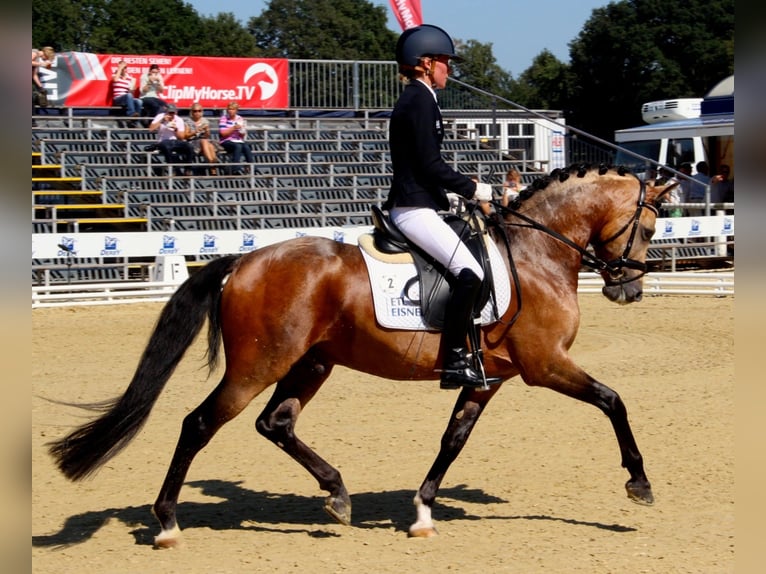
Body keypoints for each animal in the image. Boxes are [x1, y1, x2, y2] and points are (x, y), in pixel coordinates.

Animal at [48, 164, 674, 548]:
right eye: (647, 228)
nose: (629, 290)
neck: (535, 253)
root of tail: (243, 261)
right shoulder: (545, 366)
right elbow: (613, 401)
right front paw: (639, 483)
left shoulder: (486, 378)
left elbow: (453, 439)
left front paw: (422, 512)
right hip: (258, 365)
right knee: (199, 424)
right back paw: (167, 523)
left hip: (312, 362)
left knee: (275, 423)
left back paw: (338, 494)